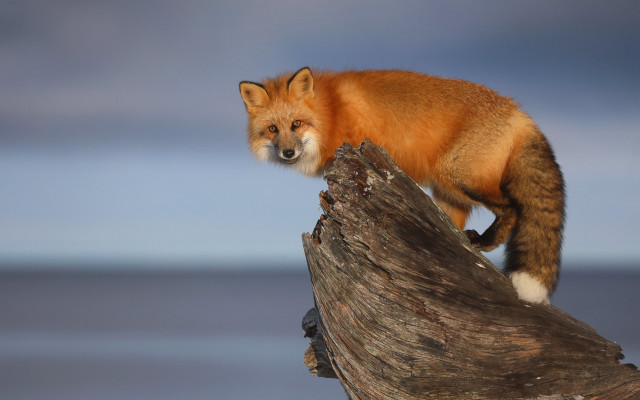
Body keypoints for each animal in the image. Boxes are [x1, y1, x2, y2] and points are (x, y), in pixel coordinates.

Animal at [239, 67, 565, 304]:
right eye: (272, 129)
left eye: (296, 124)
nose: (287, 153)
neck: (332, 112)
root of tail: (519, 113)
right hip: (447, 195)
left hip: (460, 177)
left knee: (512, 208)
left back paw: (487, 240)